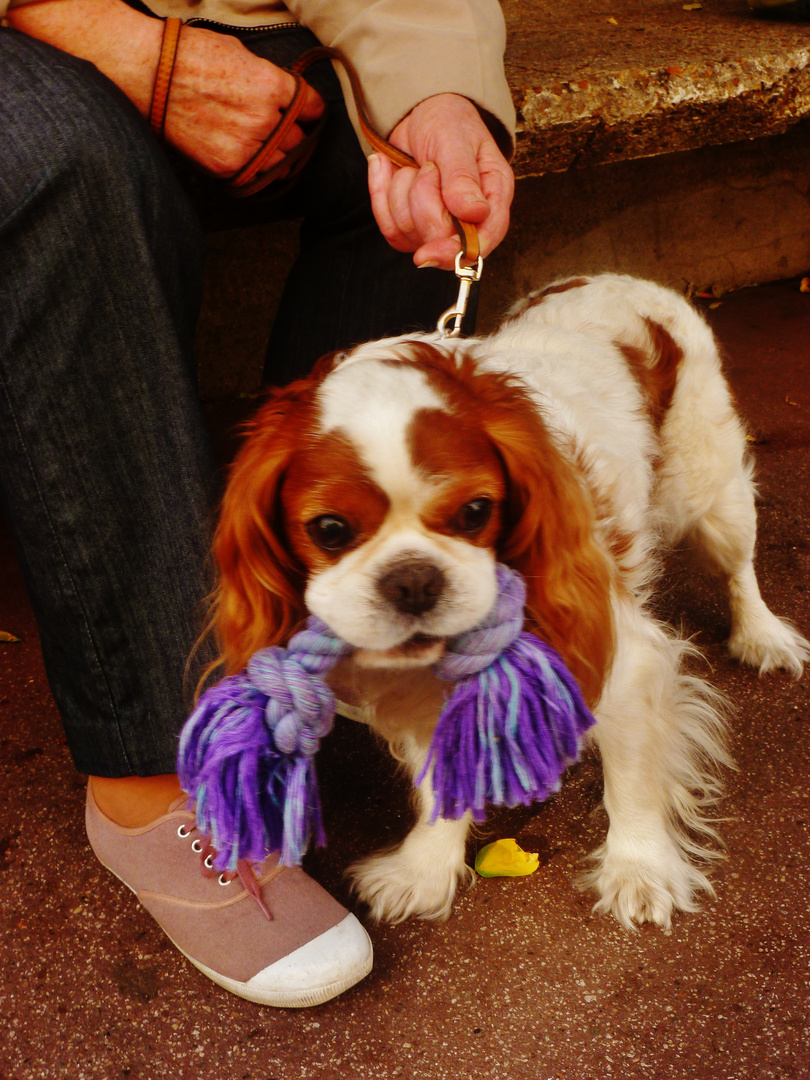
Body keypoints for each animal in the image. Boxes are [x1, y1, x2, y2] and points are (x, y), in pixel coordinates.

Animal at [210, 276, 810, 928]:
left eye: (476, 512)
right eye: (329, 530)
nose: (413, 580)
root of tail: (618, 277)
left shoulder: (621, 658)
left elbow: (633, 776)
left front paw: (639, 870)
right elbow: (439, 782)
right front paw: (425, 869)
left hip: (709, 491)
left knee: (738, 564)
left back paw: (762, 636)